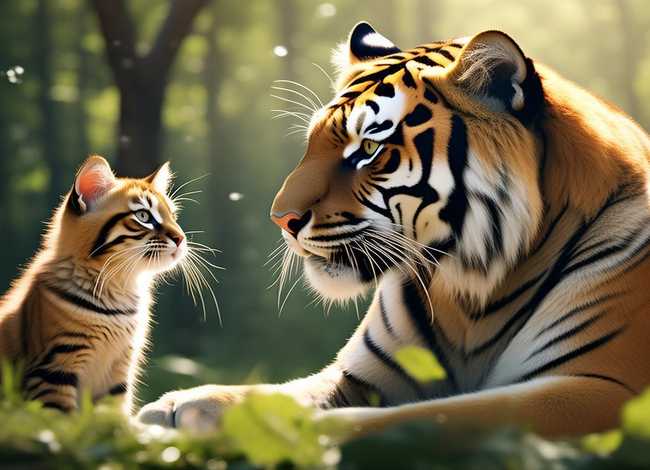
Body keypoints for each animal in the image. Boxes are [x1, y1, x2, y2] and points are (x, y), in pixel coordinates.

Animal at [0, 155, 187, 414]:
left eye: (173, 216)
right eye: (143, 216)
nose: (181, 238)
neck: (121, 288)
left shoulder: (119, 370)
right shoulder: (54, 369)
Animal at [138, 22, 650, 437]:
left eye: (368, 149)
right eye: (312, 143)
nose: (280, 218)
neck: (473, 286)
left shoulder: (597, 390)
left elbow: (426, 417)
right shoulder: (358, 375)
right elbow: (281, 391)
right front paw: (176, 407)